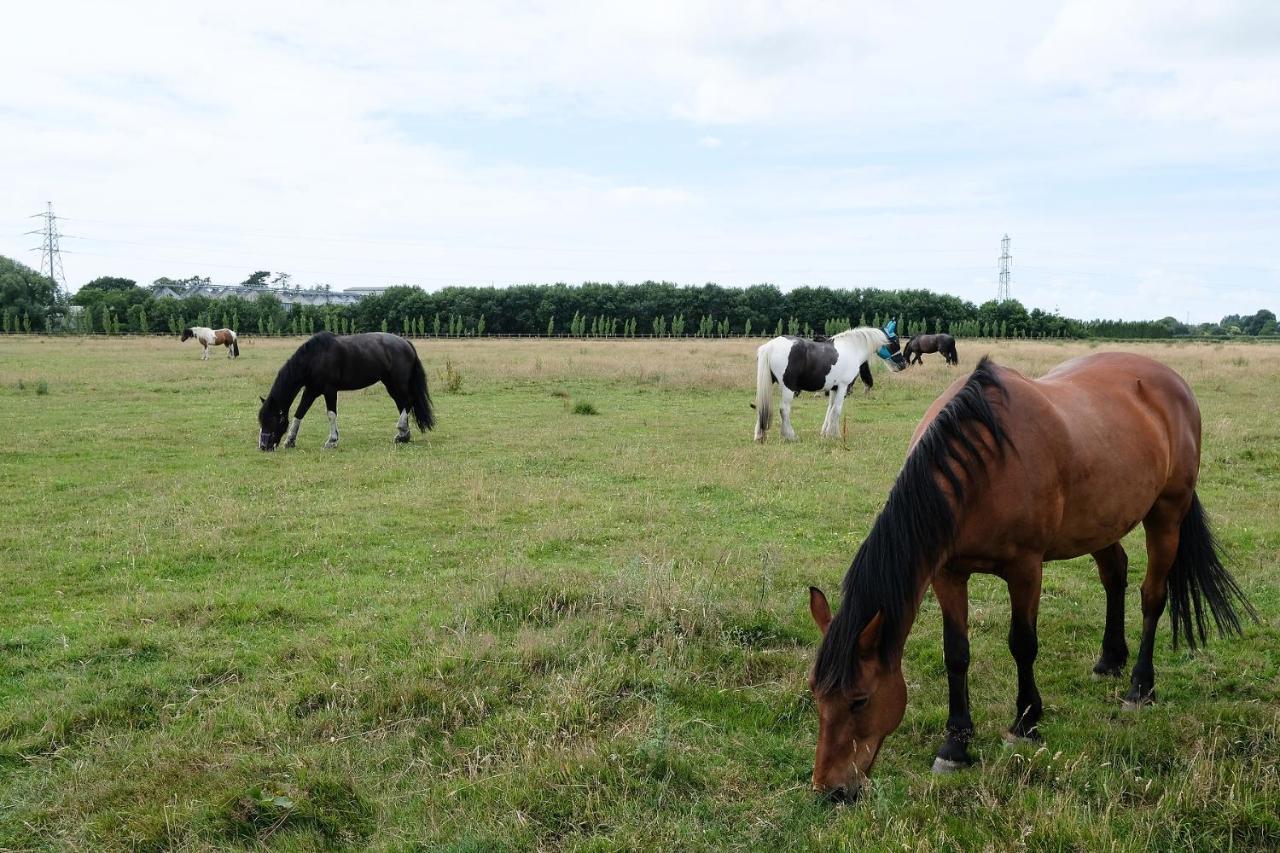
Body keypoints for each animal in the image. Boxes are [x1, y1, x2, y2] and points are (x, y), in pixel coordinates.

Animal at [258, 330, 435, 450]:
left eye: (271, 420)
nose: (263, 446)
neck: (315, 357)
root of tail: (406, 343)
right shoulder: (311, 390)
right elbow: (300, 413)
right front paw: (290, 441)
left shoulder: (329, 391)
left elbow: (331, 414)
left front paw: (332, 441)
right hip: (390, 384)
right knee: (402, 404)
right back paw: (403, 436)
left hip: (398, 383)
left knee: (408, 402)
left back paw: (401, 431)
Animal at [747, 318, 911, 438]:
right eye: (894, 341)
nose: (903, 364)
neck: (852, 348)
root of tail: (770, 346)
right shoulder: (843, 387)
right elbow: (837, 410)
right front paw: (835, 435)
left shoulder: (833, 388)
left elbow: (830, 409)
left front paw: (825, 433)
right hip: (788, 387)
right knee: (784, 409)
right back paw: (790, 435)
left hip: (768, 383)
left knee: (761, 406)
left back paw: (759, 435)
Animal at [803, 350, 1254, 799]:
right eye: (815, 694)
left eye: (860, 699)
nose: (830, 788)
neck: (982, 464)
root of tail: (1173, 383)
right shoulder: (948, 574)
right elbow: (956, 653)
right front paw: (955, 744)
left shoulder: (1025, 569)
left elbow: (1022, 644)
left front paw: (1026, 722)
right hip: (1101, 521)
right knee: (1115, 575)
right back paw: (1109, 659)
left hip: (1166, 514)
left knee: (1152, 597)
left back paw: (1140, 688)